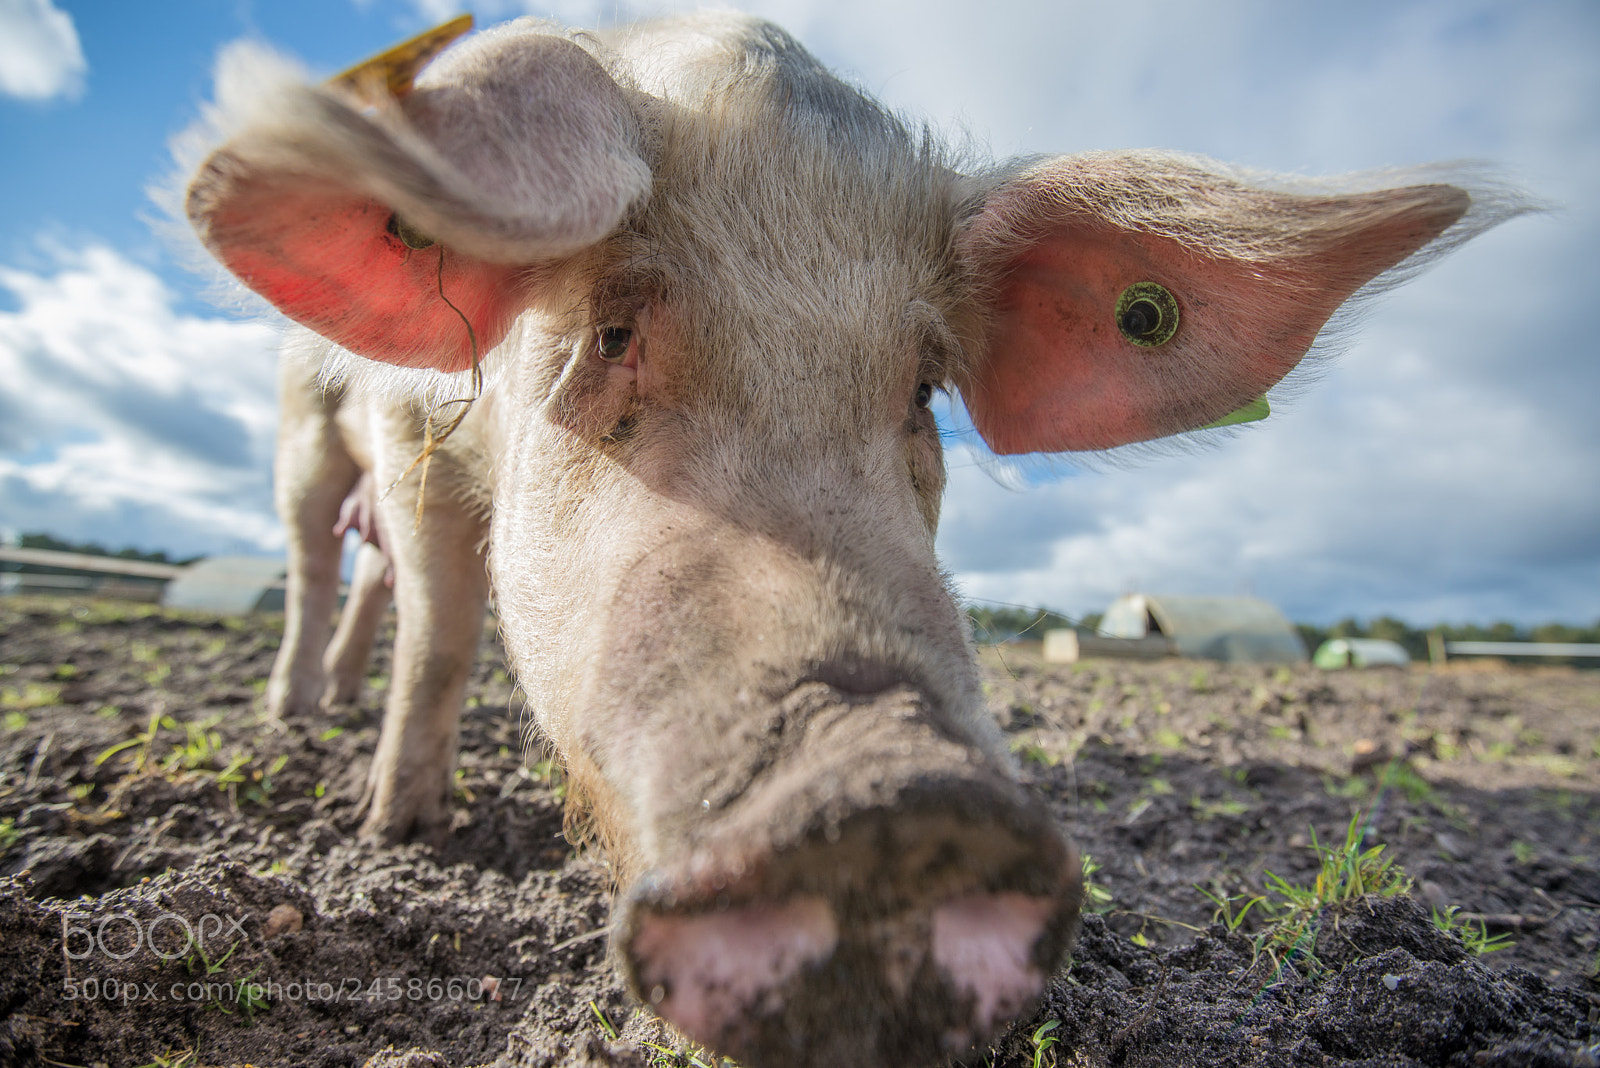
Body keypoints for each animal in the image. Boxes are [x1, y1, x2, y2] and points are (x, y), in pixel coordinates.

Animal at [180, 12, 1524, 1067]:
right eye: (612, 331)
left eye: (924, 385)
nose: (890, 792)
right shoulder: (409, 431)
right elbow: (444, 635)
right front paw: (395, 833)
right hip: (303, 431)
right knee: (325, 562)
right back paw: (298, 715)